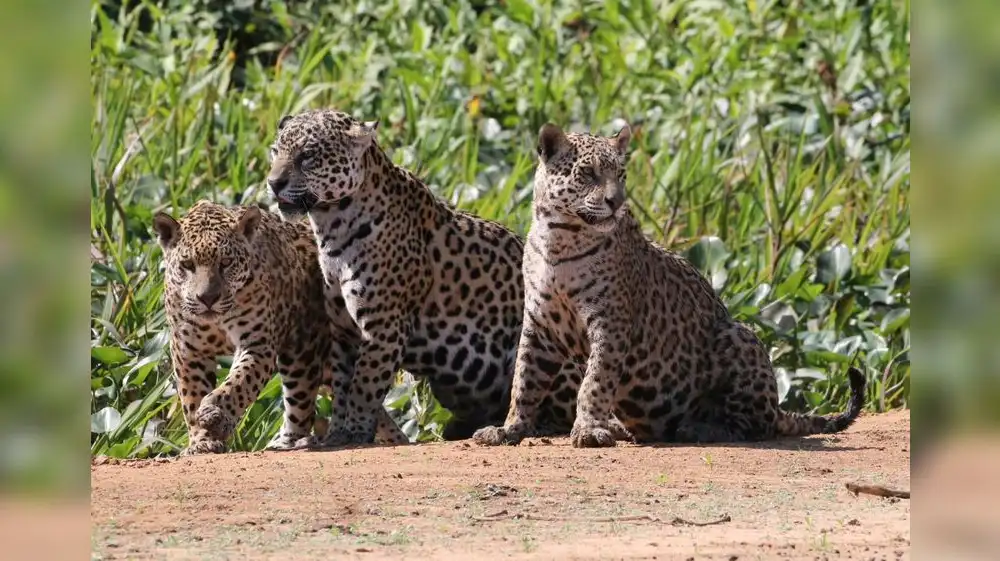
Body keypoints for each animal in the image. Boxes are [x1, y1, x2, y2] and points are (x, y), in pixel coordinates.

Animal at [153, 200, 407, 454]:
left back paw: (291, 441)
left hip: (302, 350)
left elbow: (240, 382)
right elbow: (192, 395)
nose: (207, 298)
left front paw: (217, 414)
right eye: (187, 265)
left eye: (225, 263)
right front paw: (202, 440)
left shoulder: (258, 344)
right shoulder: (189, 351)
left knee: (302, 403)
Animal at [265, 108, 527, 446]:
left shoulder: (384, 327)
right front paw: (338, 432)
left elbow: (363, 385)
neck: (331, 227)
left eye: (307, 156)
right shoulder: (343, 331)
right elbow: (343, 386)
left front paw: (356, 431)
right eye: (275, 152)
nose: (273, 183)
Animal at [473, 122, 866, 448]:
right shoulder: (539, 323)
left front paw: (587, 429)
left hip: (740, 336)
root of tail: (779, 408)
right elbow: (524, 381)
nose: (616, 201)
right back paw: (624, 427)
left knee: (757, 423)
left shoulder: (611, 321)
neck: (560, 238)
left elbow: (595, 380)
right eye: (588, 173)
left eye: (621, 175)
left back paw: (700, 427)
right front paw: (509, 429)